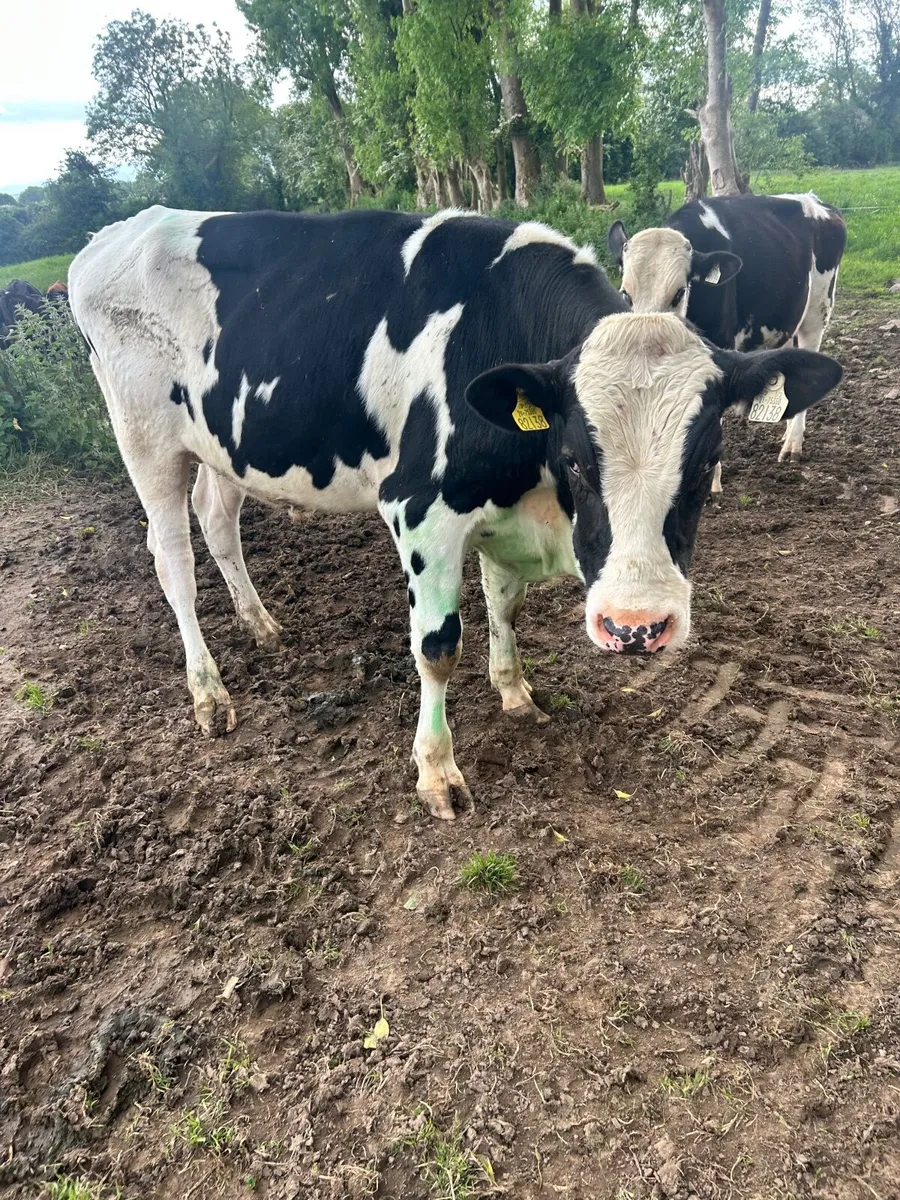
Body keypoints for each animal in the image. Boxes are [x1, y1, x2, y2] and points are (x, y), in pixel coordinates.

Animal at [607, 192, 847, 490]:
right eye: (625, 294)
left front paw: (713, 482)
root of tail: (817, 201)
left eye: (678, 294)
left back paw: (793, 444)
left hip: (818, 311)